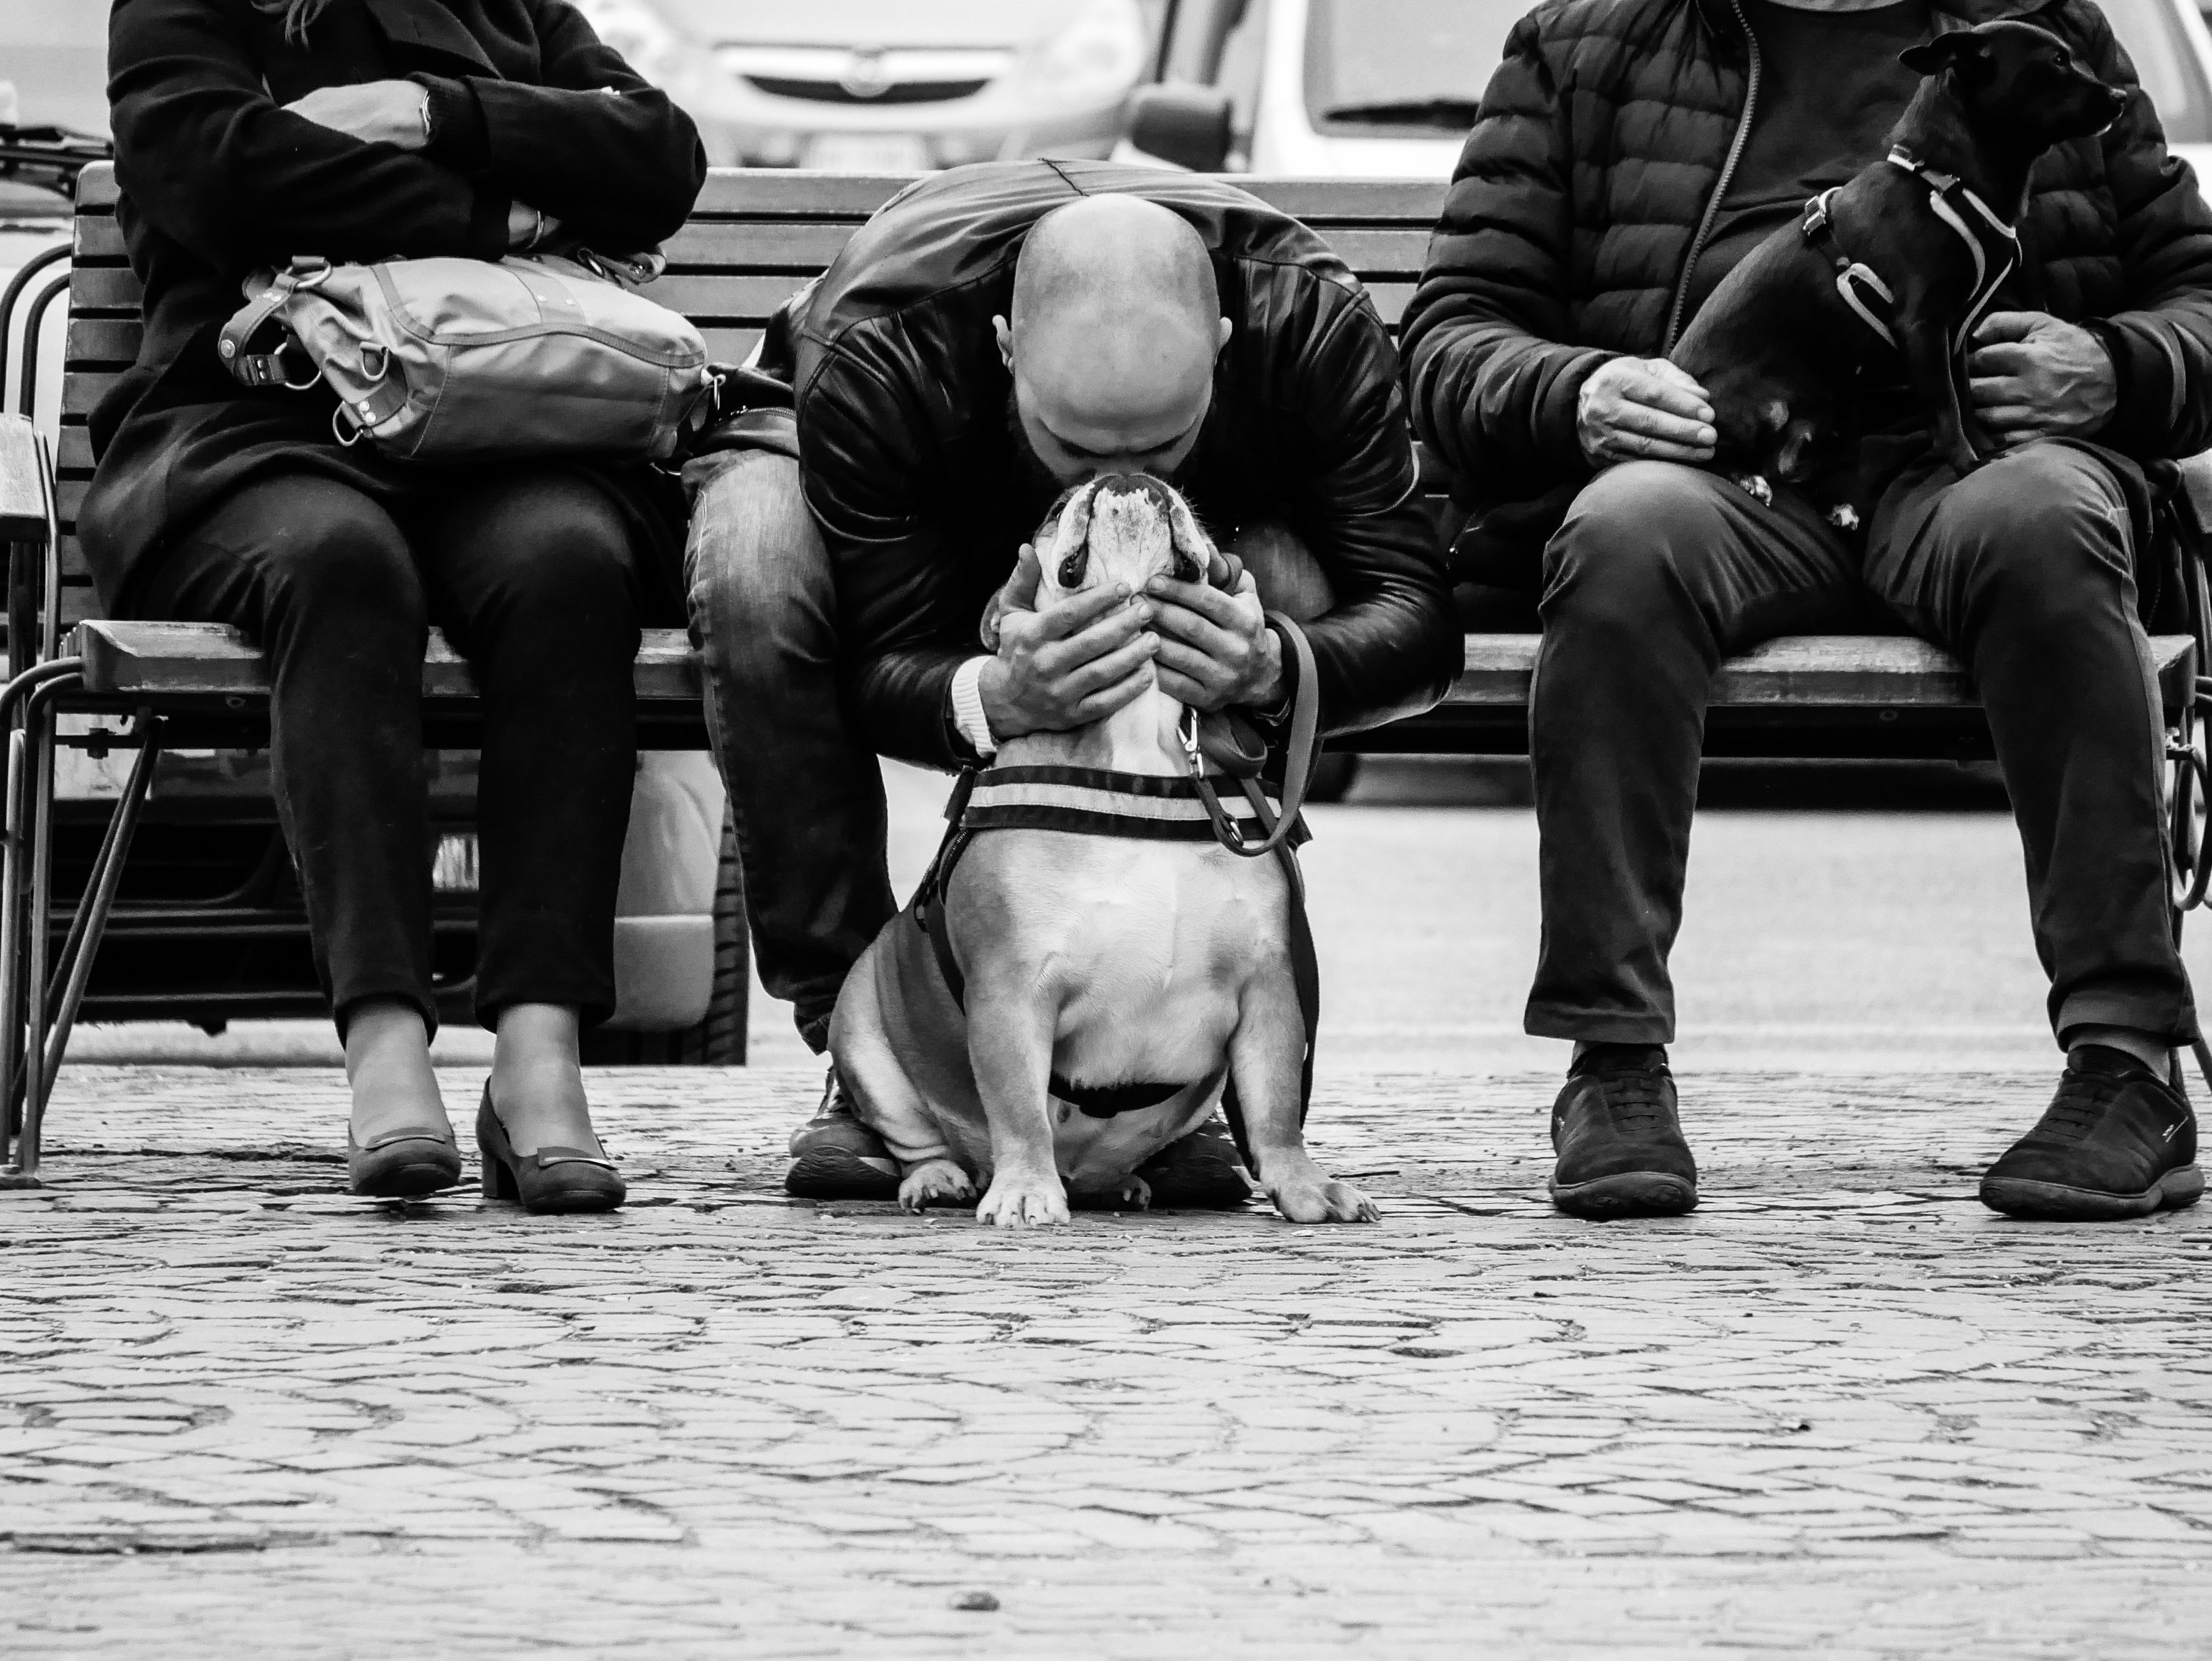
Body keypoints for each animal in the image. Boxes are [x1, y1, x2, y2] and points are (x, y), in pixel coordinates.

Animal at [1672, 21, 2123, 486]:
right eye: (2057, 61)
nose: (2122, 96)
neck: (1947, 183)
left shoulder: (1954, 333)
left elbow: (1964, 395)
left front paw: (1986, 449)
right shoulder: (1921, 328)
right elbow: (1946, 408)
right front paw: (1966, 463)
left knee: (1777, 461)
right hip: (1761, 409)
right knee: (1703, 450)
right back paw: (1745, 478)